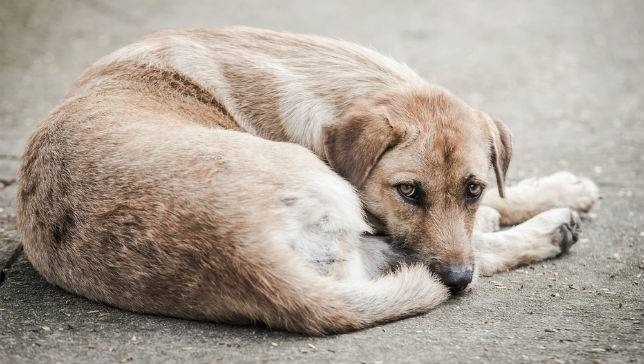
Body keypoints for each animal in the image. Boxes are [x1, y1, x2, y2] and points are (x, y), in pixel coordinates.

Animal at [16, 27, 600, 336]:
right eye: (409, 191)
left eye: (472, 188)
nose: (456, 279)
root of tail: (243, 252)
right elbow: (469, 242)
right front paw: (536, 211)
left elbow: (501, 194)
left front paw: (555, 190)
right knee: (456, 259)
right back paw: (546, 232)